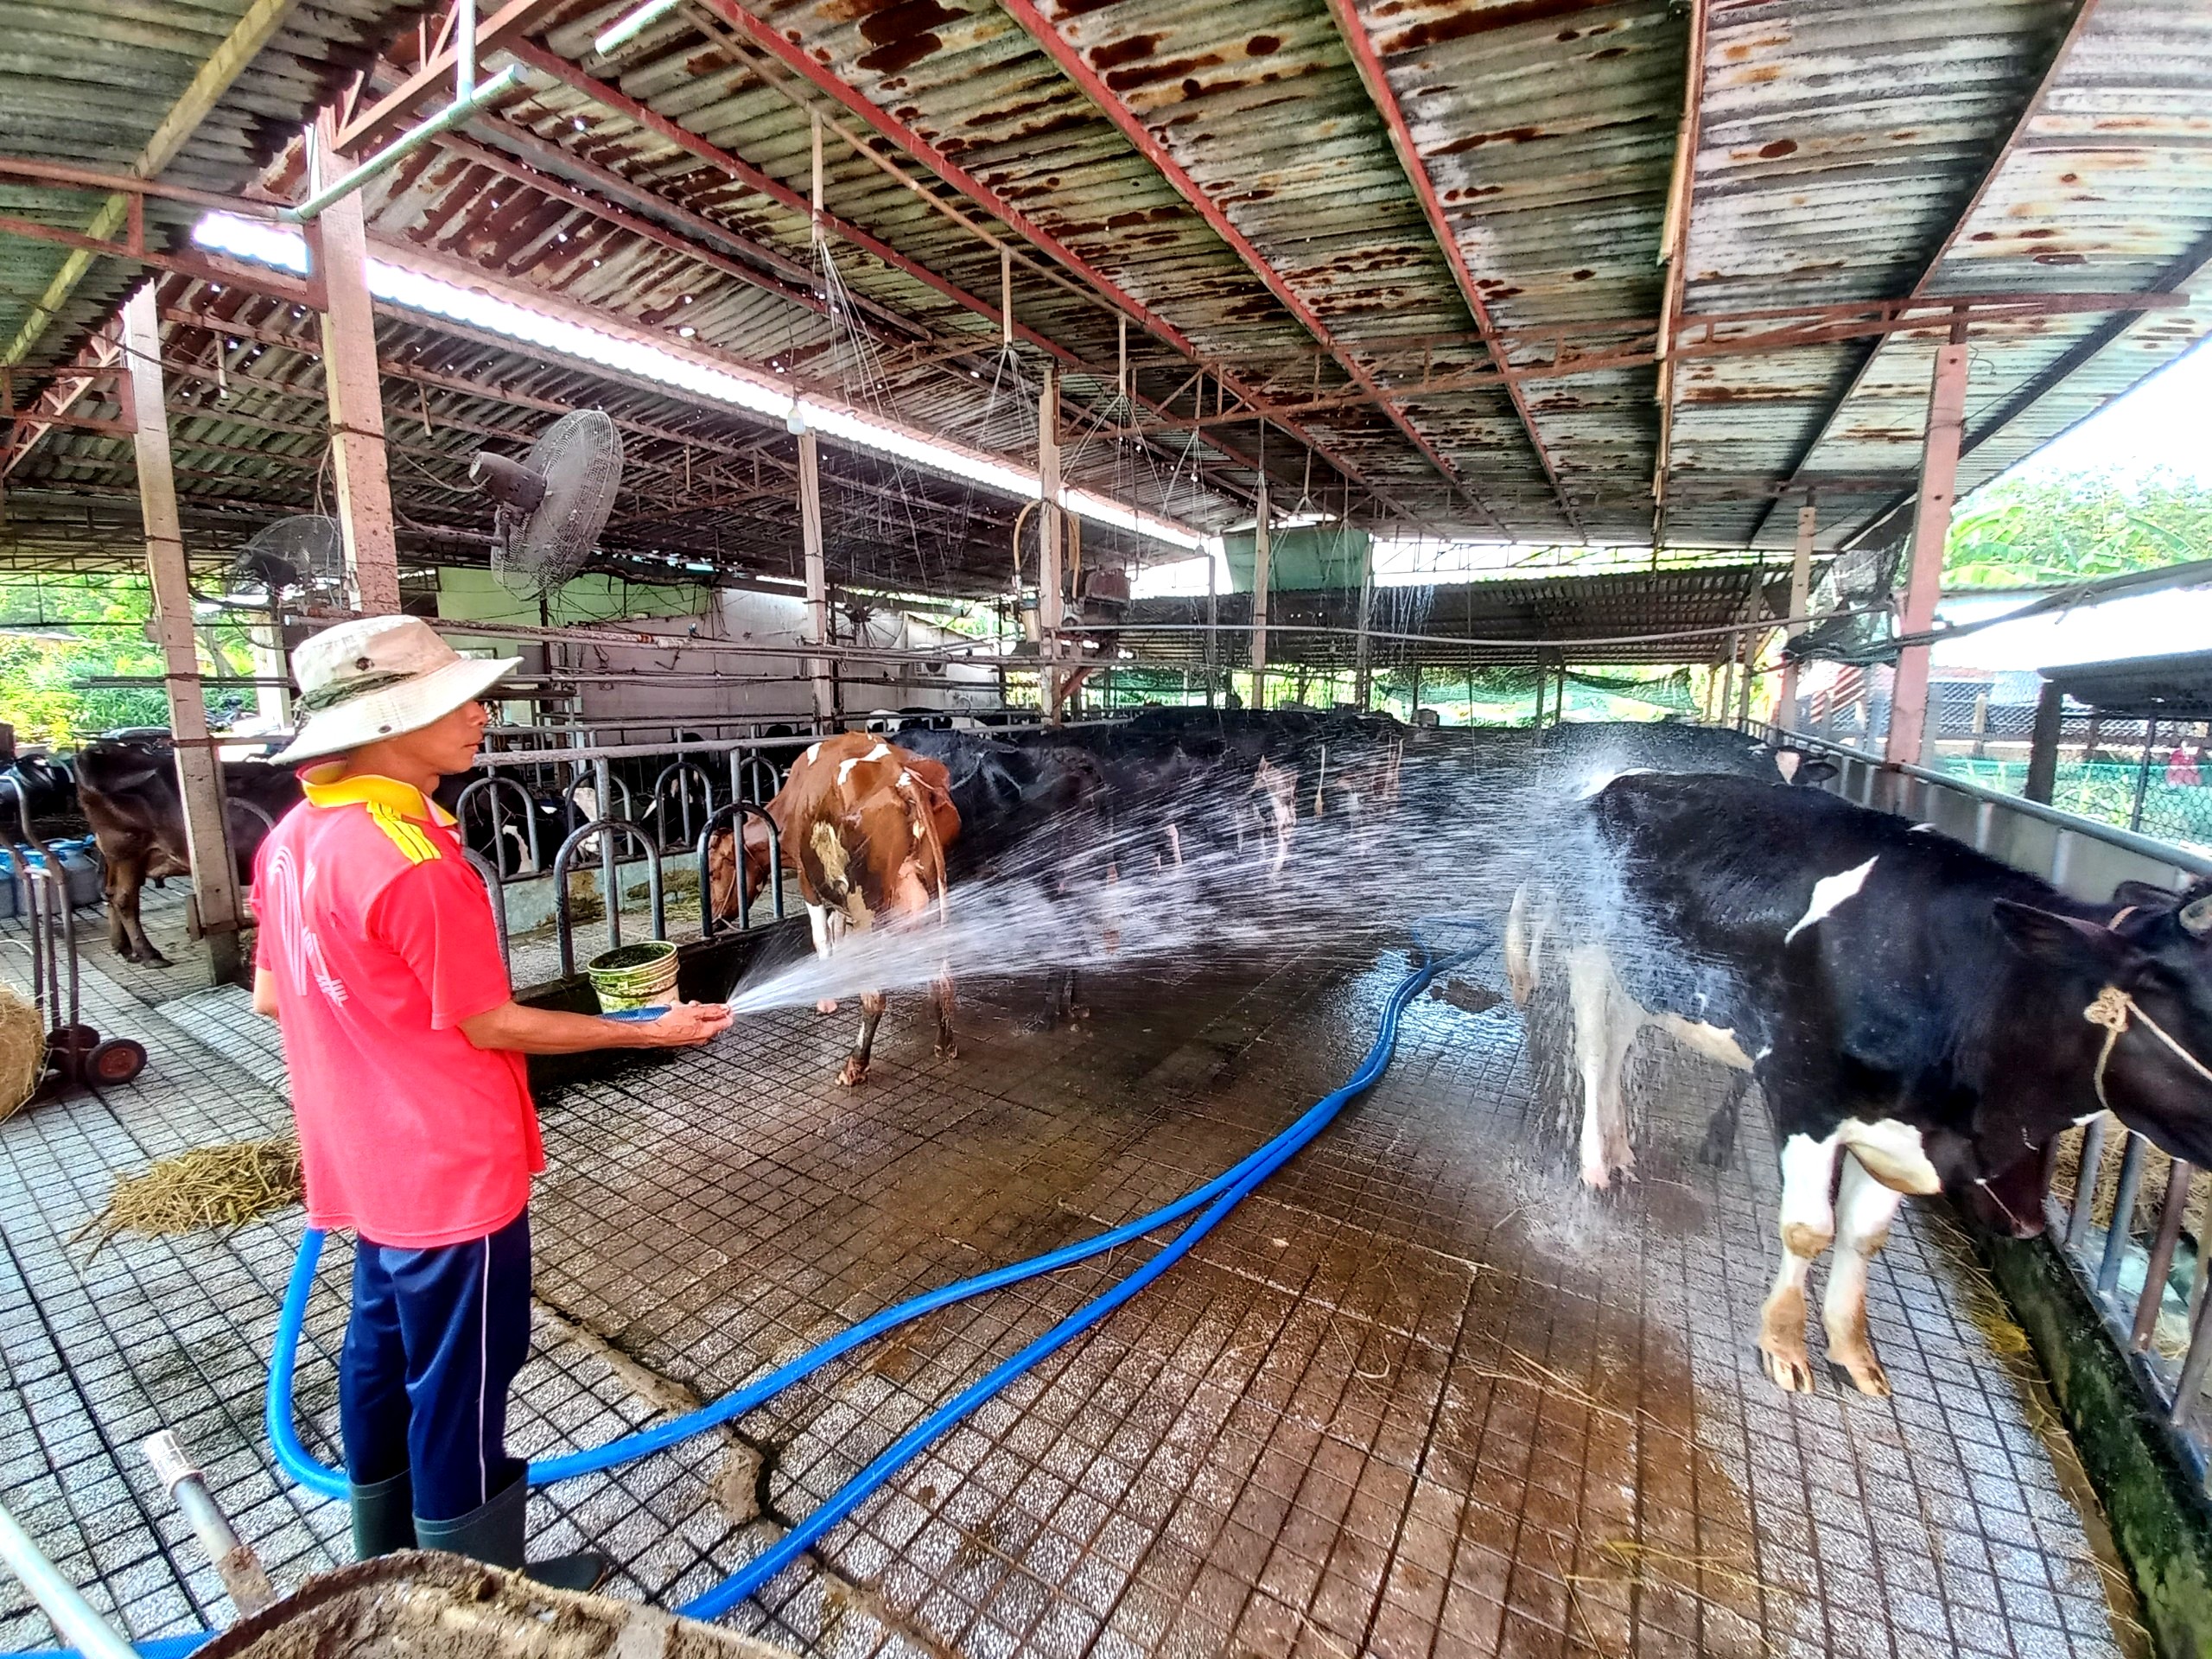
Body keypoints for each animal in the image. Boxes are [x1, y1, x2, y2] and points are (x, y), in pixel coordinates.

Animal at [1513, 779, 2212, 1407]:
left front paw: (1853, 1352)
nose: (2028, 1223)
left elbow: (1863, 1237)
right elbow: (1808, 1230)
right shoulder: (1806, 1095)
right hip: (1590, 953)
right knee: (1595, 1055)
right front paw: (1784, 1346)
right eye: (2178, 995)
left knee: (1619, 1052)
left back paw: (1621, 1147)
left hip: (1647, 979)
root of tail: (1602, 791)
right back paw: (1595, 1165)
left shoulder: (1901, 1132)